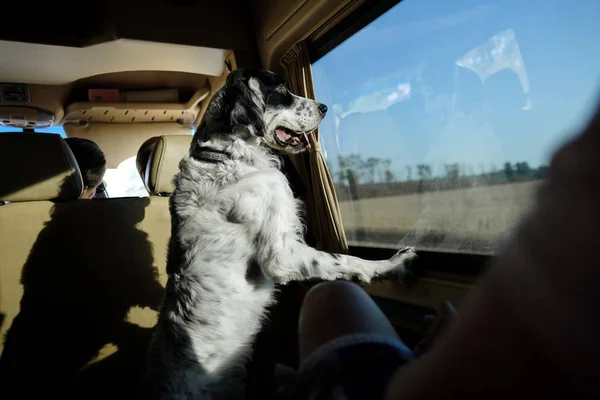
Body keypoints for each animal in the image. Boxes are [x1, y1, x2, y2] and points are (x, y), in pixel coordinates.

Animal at [146, 70, 418, 398]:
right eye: (281, 91)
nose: (324, 107)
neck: (225, 156)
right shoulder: (281, 255)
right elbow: (344, 260)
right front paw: (391, 265)